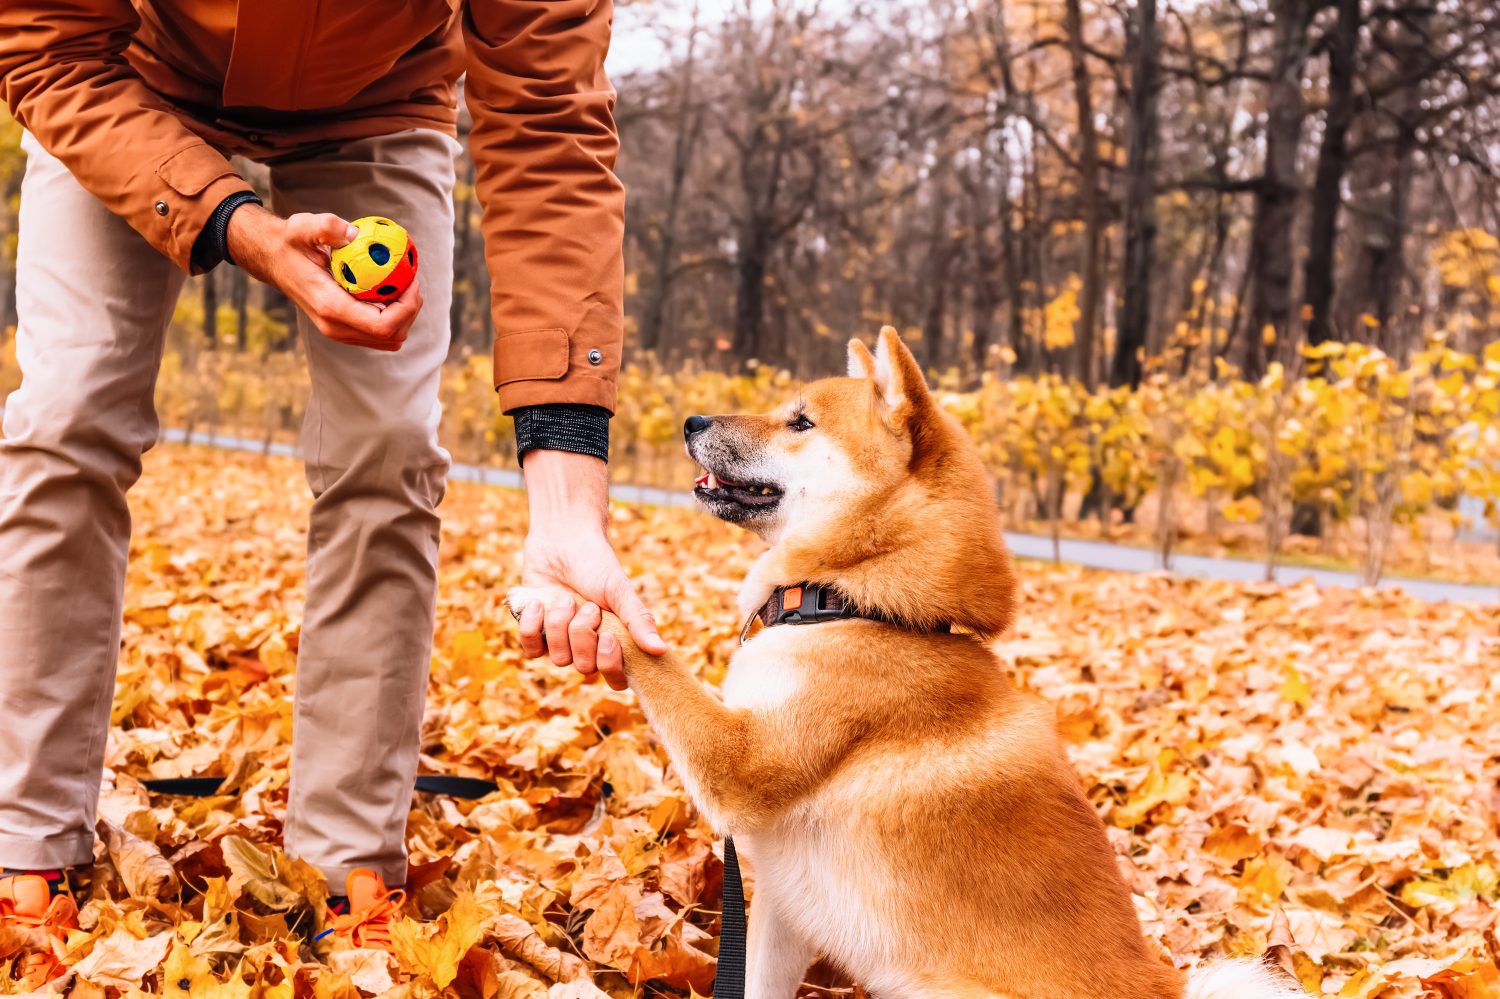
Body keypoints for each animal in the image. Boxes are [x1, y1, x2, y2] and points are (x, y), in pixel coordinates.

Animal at [510, 322, 1296, 990]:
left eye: (800, 421)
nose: (692, 423)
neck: (860, 603)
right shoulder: (784, 910)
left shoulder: (739, 763)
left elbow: (655, 654)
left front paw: (571, 602)